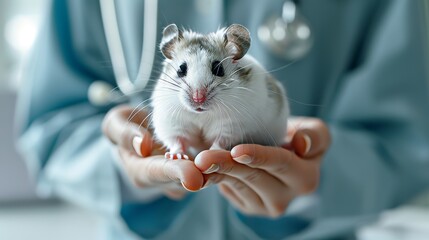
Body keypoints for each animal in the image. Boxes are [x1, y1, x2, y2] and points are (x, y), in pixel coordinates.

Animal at [150, 23, 288, 159]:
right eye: (181, 69)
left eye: (218, 69)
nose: (198, 99)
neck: (202, 114)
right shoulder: (172, 122)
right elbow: (177, 140)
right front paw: (175, 156)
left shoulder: (232, 124)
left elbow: (220, 140)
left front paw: (212, 152)